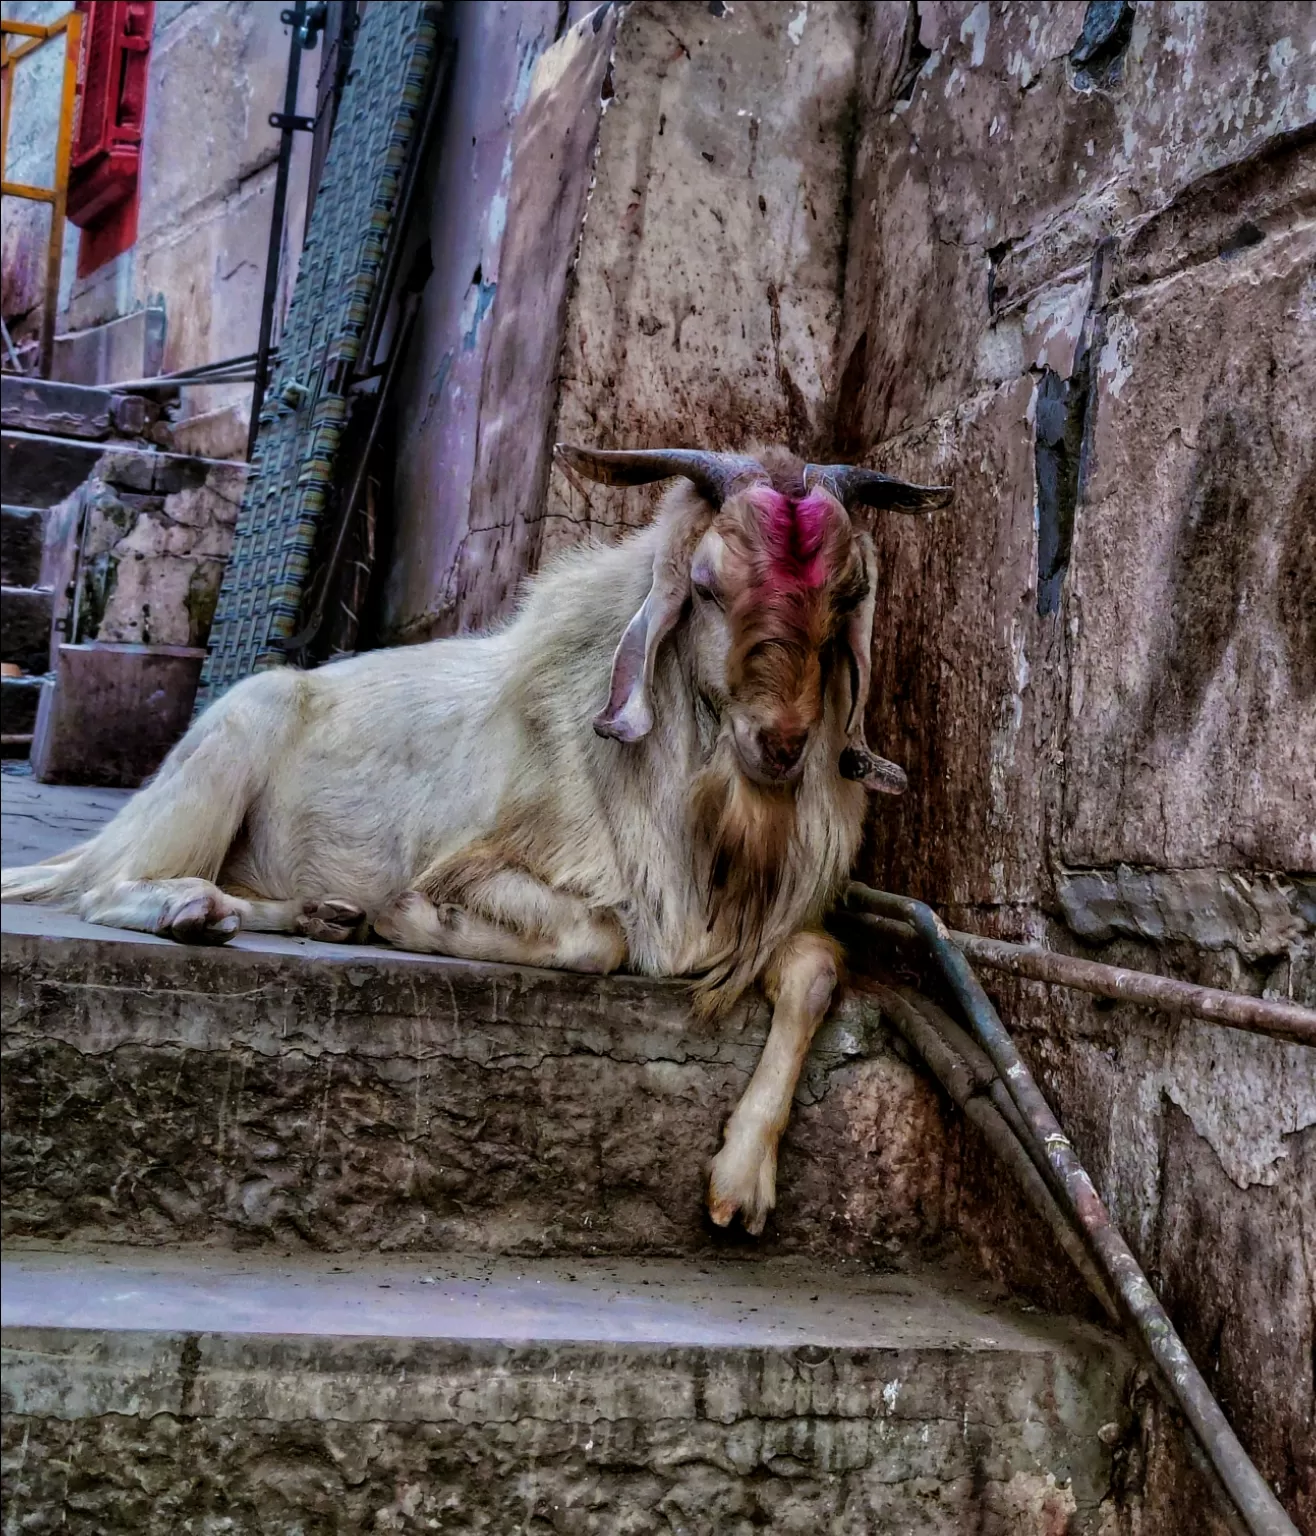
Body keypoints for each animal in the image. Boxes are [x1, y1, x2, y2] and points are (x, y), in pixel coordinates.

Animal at [0, 442, 945, 1222]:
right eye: (707, 587)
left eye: (845, 599)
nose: (780, 744)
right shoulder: (503, 865)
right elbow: (597, 936)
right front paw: (415, 917)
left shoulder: (744, 925)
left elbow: (817, 967)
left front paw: (742, 1184)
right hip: (228, 748)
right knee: (101, 891)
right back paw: (196, 912)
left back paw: (316, 915)